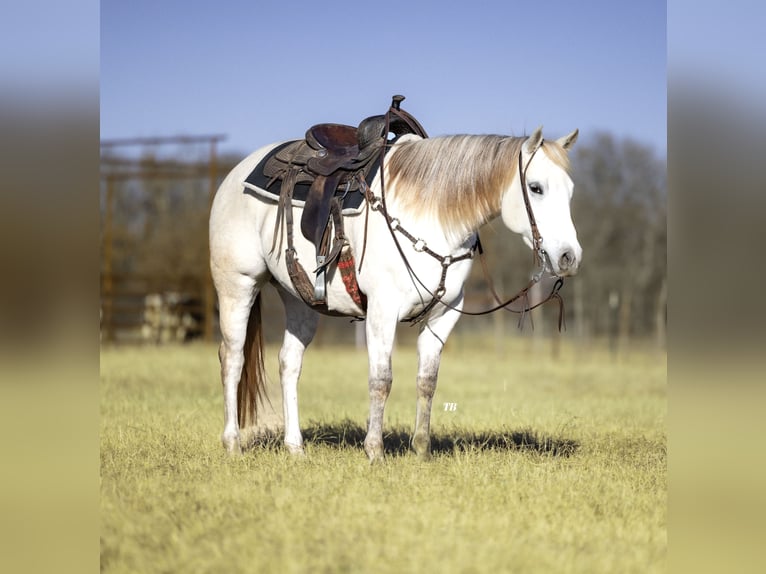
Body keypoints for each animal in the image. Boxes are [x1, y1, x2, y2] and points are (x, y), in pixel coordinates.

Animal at [210, 122, 584, 464]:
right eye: (535, 187)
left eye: (570, 191)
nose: (569, 256)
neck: (431, 214)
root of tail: (234, 176)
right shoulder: (382, 311)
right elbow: (382, 380)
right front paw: (375, 451)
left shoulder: (444, 314)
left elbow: (427, 381)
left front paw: (421, 450)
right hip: (238, 286)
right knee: (232, 358)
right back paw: (232, 444)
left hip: (299, 299)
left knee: (289, 363)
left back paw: (295, 447)